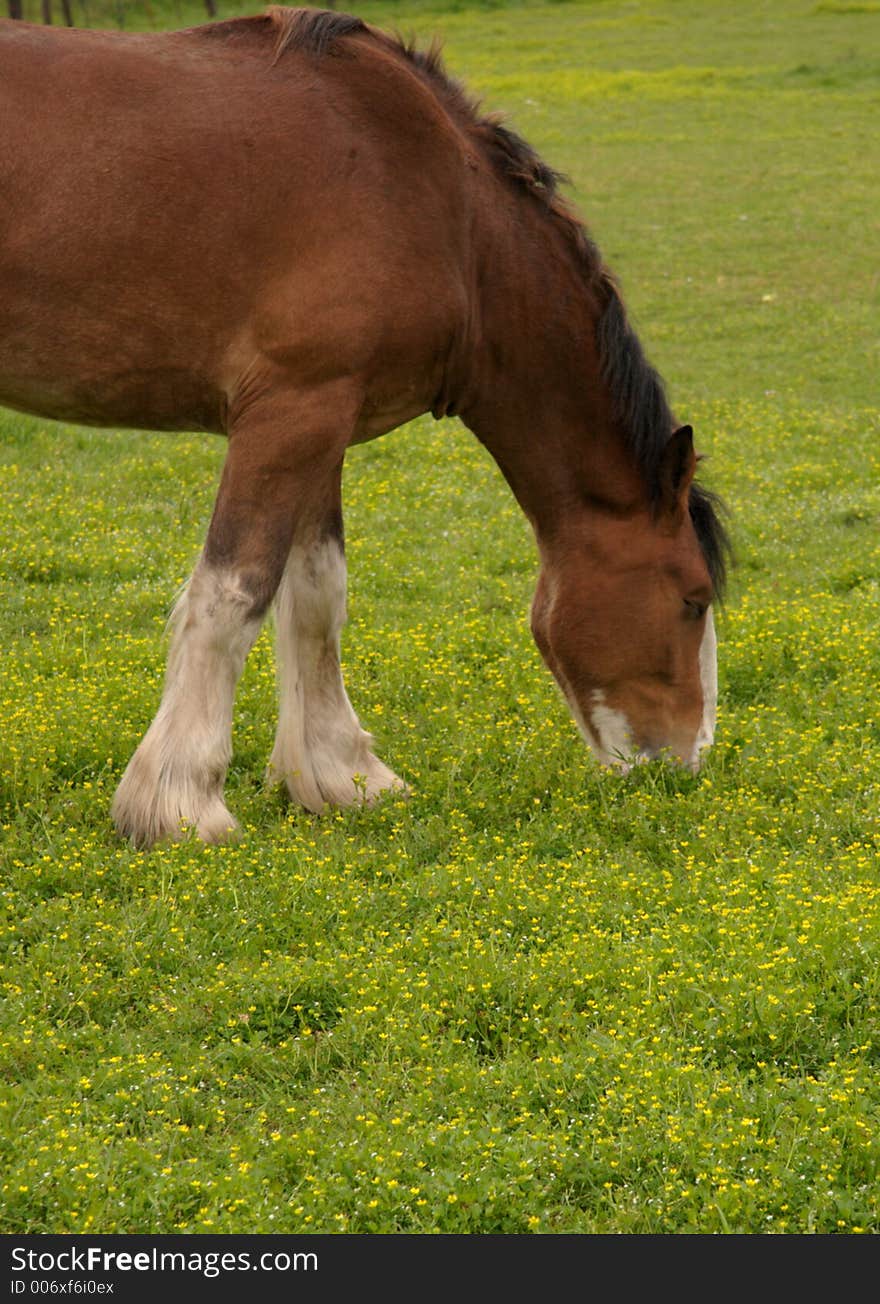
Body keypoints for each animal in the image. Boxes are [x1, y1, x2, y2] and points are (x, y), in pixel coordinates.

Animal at [0, 5, 730, 850]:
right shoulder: (291, 410)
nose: (685, 760)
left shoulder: (325, 420)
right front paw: (180, 804)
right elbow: (233, 594)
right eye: (693, 599)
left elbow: (316, 595)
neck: (442, 203)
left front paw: (340, 776)